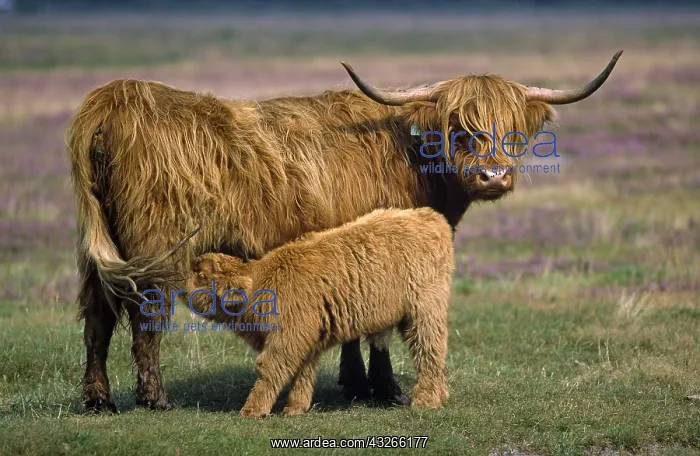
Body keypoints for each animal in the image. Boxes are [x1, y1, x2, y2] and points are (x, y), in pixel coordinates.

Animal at [66, 51, 622, 413]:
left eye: (512, 131)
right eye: (458, 126)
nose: (492, 176)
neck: (407, 154)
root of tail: (114, 98)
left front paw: (355, 384)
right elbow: (377, 325)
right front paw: (382, 388)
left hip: (99, 251)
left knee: (97, 318)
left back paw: (99, 400)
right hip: (156, 247)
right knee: (145, 318)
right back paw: (154, 399)